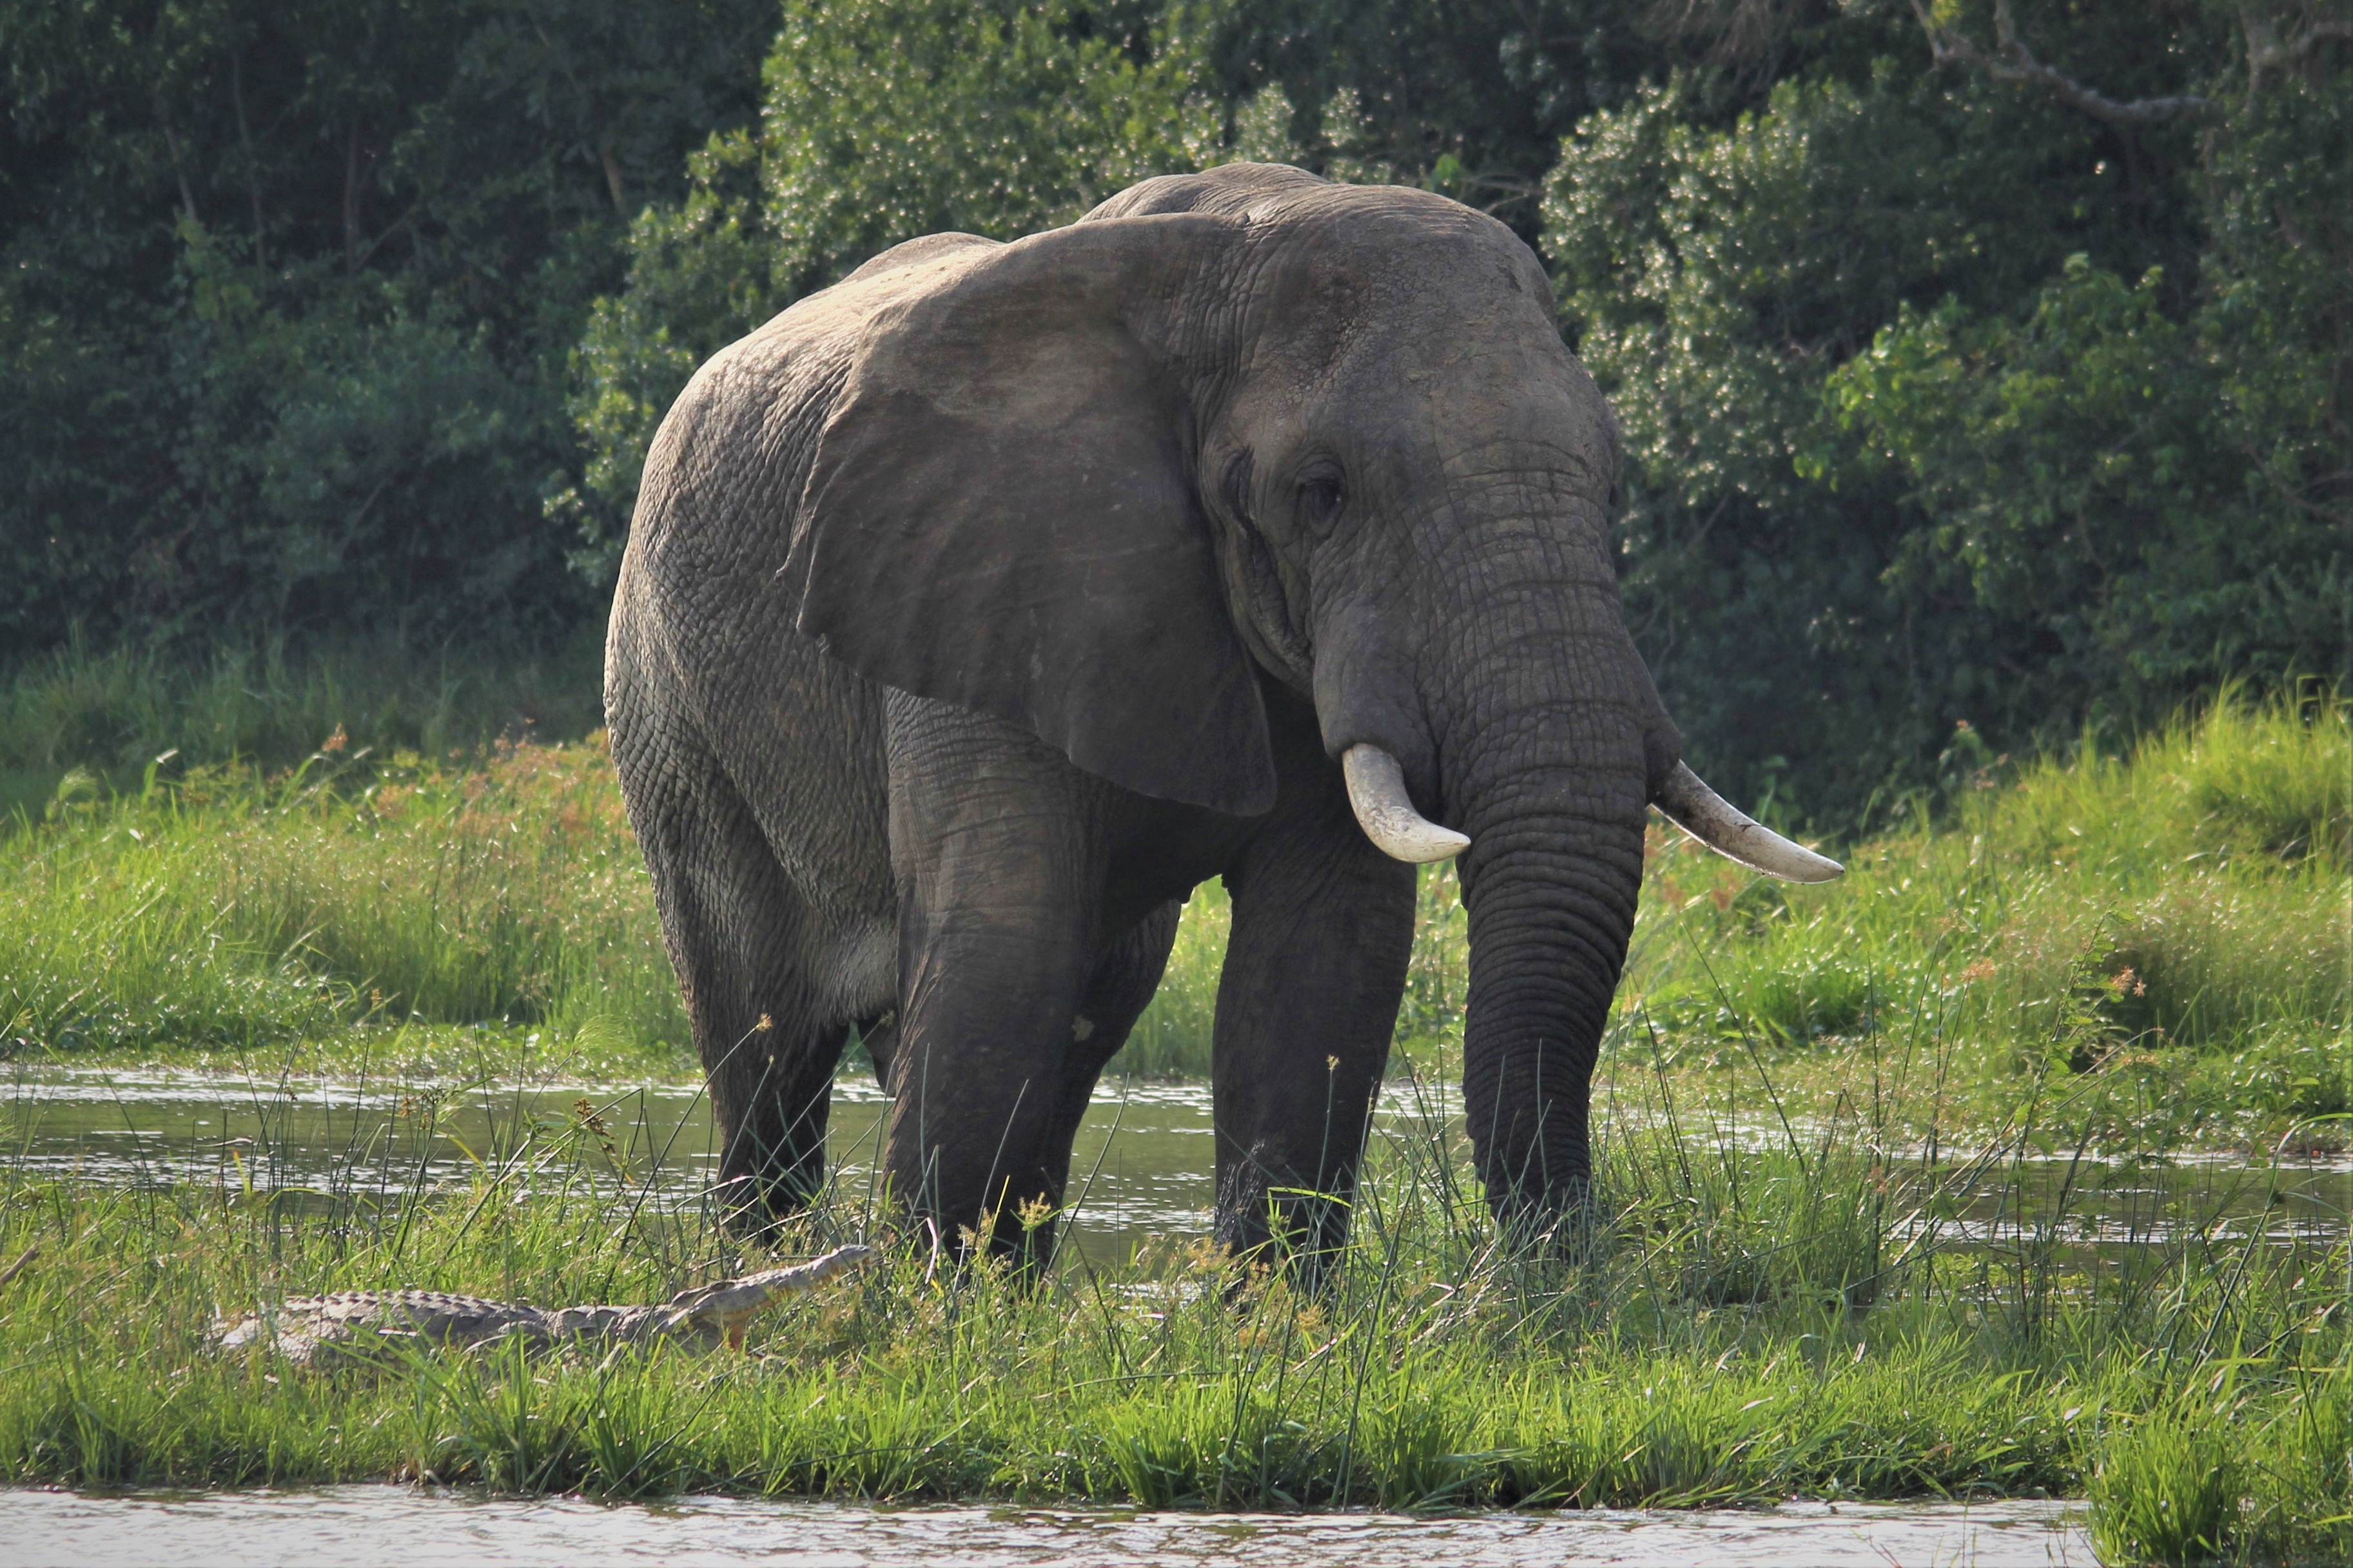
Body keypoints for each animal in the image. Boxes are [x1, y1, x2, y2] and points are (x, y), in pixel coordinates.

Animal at [605, 162, 1839, 1266]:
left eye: (1612, 482)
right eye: (1320, 494)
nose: (1556, 1263)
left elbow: (1321, 960)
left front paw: (1279, 1326)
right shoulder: (987, 585)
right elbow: (1008, 942)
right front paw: (926, 1318)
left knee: (1076, 1017)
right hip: (665, 716)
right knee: (765, 1044)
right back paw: (769, 1270)